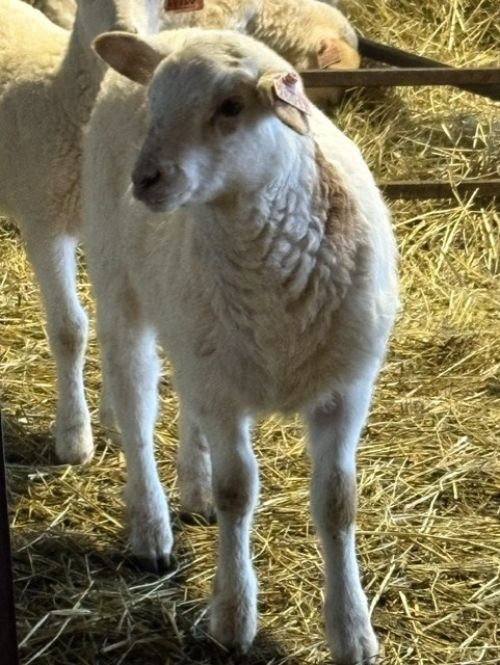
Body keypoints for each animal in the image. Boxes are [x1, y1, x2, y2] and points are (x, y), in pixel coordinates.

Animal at [0, 0, 141, 465]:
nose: (126, 34)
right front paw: (74, 437)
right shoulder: (45, 224)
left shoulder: (110, 228)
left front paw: (117, 424)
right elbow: (69, 329)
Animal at [83, 27, 398, 664]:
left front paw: (352, 630)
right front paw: (233, 616)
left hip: (197, 333)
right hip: (119, 287)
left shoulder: (346, 390)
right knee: (134, 407)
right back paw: (151, 526)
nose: (145, 179)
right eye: (155, 104)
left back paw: (193, 488)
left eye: (231, 107)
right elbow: (237, 493)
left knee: (184, 400)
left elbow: (339, 502)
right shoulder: (224, 395)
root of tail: (177, 31)